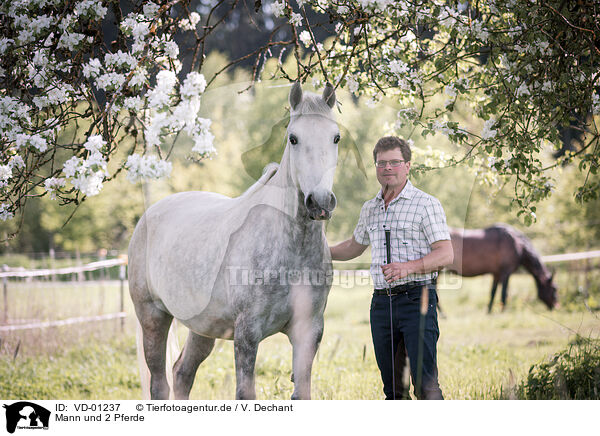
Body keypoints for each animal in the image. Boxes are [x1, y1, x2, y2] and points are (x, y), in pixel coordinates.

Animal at [129, 83, 340, 400]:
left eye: (336, 137)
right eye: (293, 138)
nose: (320, 203)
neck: (292, 250)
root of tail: (148, 216)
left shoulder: (309, 332)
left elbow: (302, 392)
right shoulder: (247, 334)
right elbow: (244, 393)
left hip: (201, 329)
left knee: (182, 374)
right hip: (152, 318)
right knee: (159, 384)